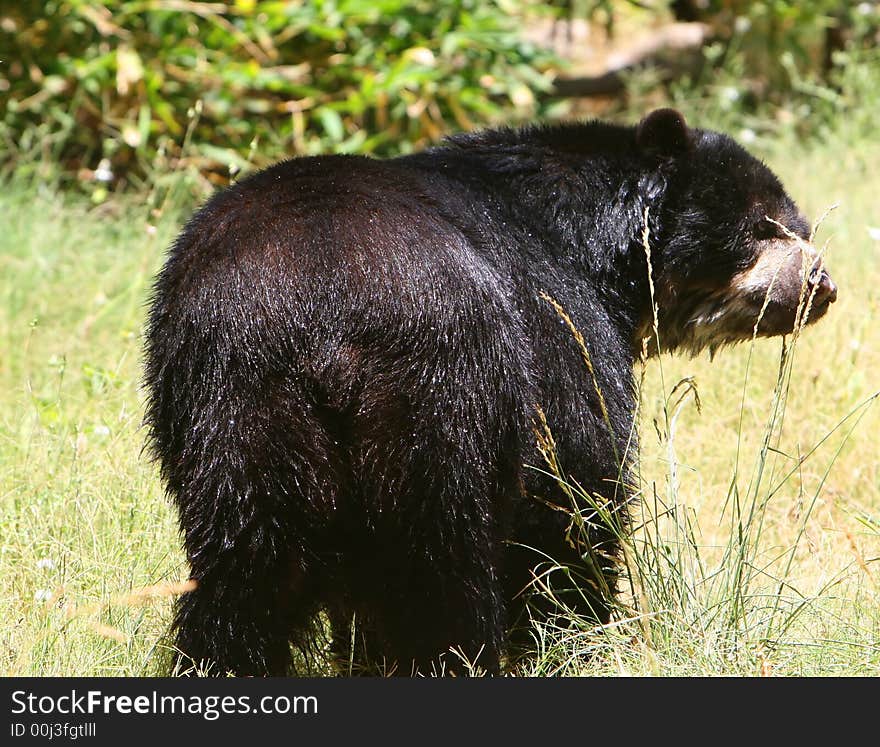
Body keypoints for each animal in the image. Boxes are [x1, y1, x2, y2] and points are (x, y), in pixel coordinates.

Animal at [144, 108, 840, 676]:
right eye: (762, 228)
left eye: (799, 226)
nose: (822, 285)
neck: (590, 244)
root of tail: (323, 303)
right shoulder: (561, 328)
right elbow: (579, 489)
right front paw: (581, 635)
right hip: (442, 390)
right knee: (435, 560)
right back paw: (448, 658)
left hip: (231, 398)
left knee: (250, 558)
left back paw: (223, 661)